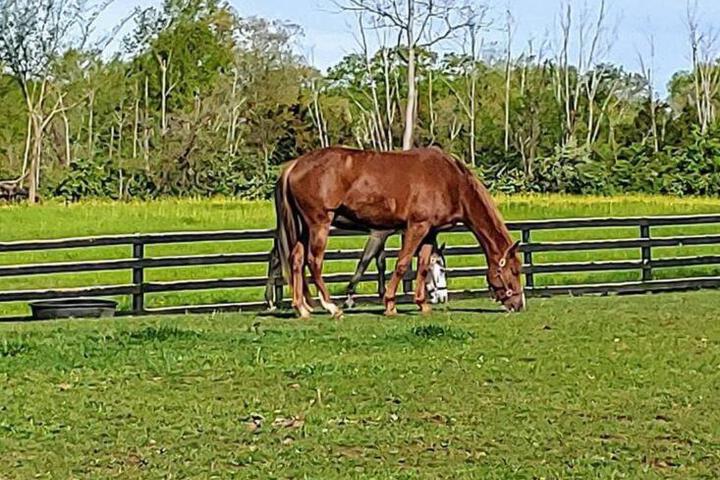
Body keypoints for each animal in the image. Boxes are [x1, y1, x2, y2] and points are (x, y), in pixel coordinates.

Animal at [275, 146, 524, 318]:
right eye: (513, 271)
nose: (518, 304)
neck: (451, 181)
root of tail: (295, 165)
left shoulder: (430, 232)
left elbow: (422, 266)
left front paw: (422, 303)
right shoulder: (416, 227)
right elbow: (402, 264)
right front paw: (390, 304)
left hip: (304, 228)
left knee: (297, 260)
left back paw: (302, 308)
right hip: (319, 224)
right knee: (314, 261)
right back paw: (331, 307)